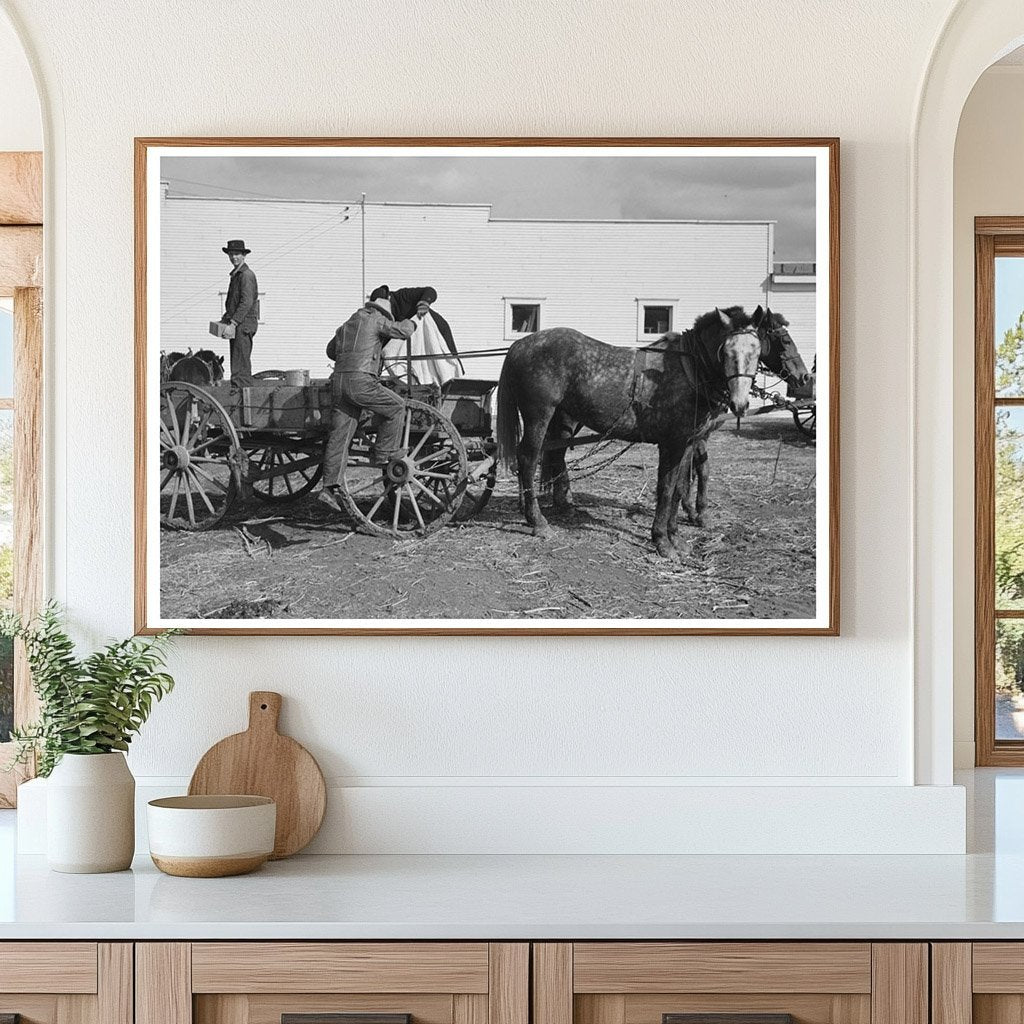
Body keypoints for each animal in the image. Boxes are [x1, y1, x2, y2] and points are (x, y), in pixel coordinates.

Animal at [495, 305, 761, 557]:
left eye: (757, 350)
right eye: (726, 351)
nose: (740, 404)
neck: (687, 368)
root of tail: (519, 345)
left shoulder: (687, 443)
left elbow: (679, 489)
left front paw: (676, 538)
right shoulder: (671, 444)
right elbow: (666, 489)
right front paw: (662, 540)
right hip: (538, 417)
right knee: (528, 459)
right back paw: (537, 521)